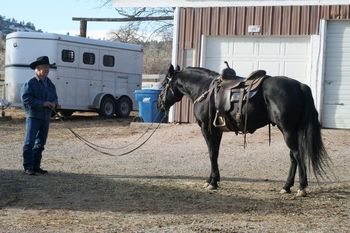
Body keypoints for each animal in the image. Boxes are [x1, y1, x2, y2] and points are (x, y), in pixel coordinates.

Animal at [159, 64, 330, 197]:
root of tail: (300, 86)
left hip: (287, 130)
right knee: (293, 157)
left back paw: (301, 187)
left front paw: (212, 182)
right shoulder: (217, 130)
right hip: (292, 130)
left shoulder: (207, 129)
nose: (159, 104)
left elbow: (211, 154)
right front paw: (213, 180)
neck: (204, 89)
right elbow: (215, 153)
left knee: (297, 155)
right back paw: (286, 186)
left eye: (164, 83)